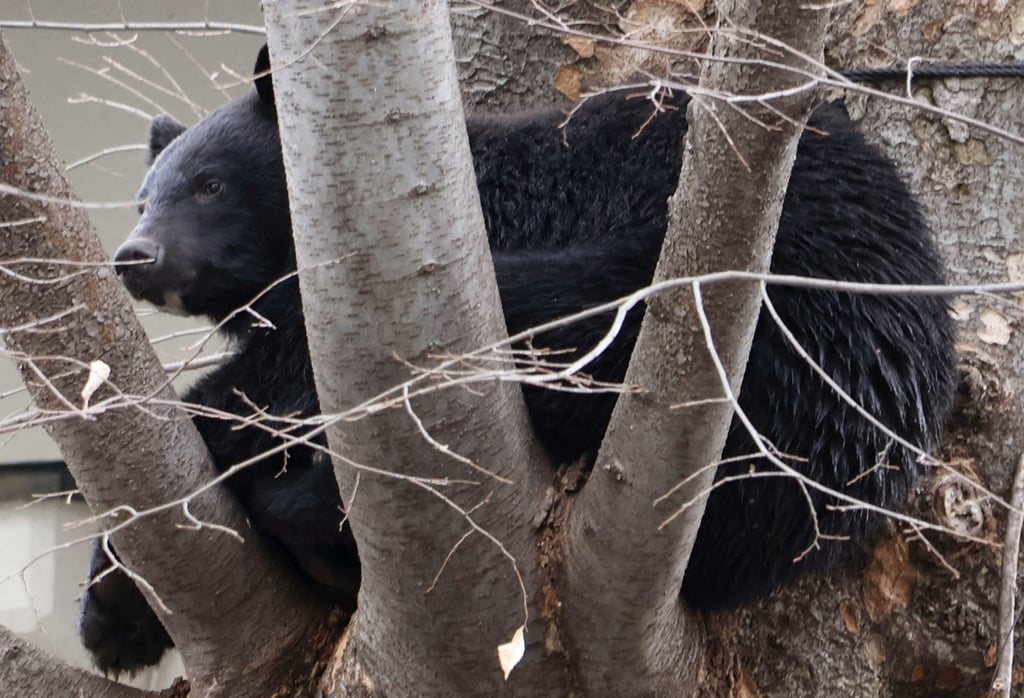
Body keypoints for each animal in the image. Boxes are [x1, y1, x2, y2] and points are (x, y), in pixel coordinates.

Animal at [79, 45, 957, 675]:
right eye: (144, 197)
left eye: (210, 184)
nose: (134, 256)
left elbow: (264, 382)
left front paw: (114, 606)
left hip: (734, 300)